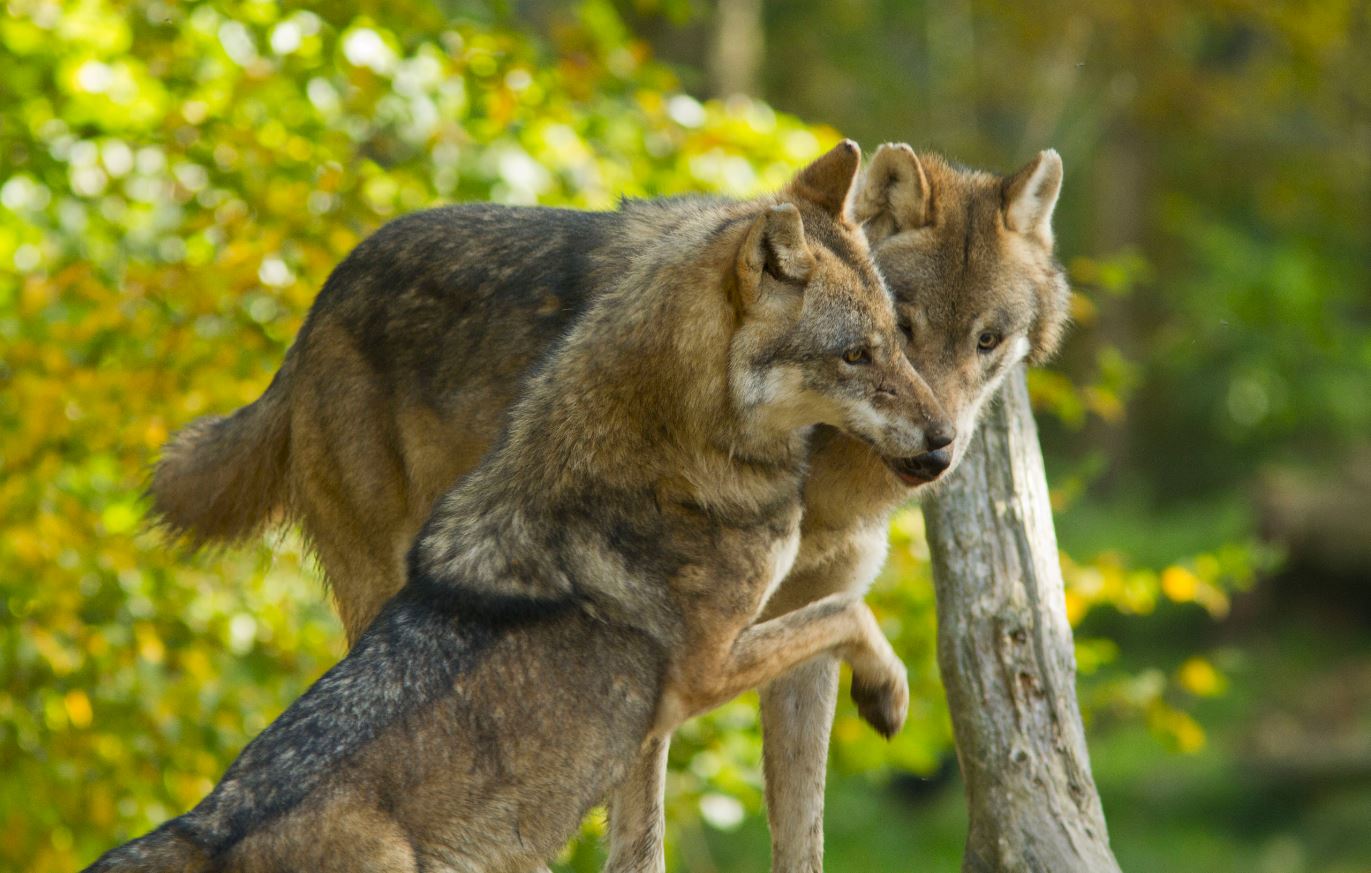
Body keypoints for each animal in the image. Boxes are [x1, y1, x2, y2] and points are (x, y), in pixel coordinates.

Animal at [150, 139, 1069, 866]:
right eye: (889, 337)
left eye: (987, 341)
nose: (941, 445)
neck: (822, 475)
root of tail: (314, 308)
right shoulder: (690, 664)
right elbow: (642, 837)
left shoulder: (798, 629)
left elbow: (802, 824)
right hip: (384, 590)